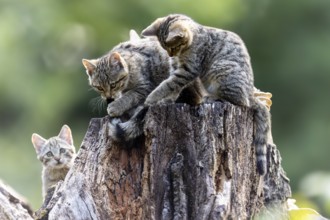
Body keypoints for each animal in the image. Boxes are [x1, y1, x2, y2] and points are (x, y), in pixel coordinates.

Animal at [142, 13, 270, 175]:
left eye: (174, 46)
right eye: (165, 48)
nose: (170, 55)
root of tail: (251, 95)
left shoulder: (187, 71)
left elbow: (167, 85)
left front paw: (151, 98)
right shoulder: (177, 69)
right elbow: (172, 88)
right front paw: (166, 100)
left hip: (221, 69)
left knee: (240, 101)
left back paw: (213, 97)